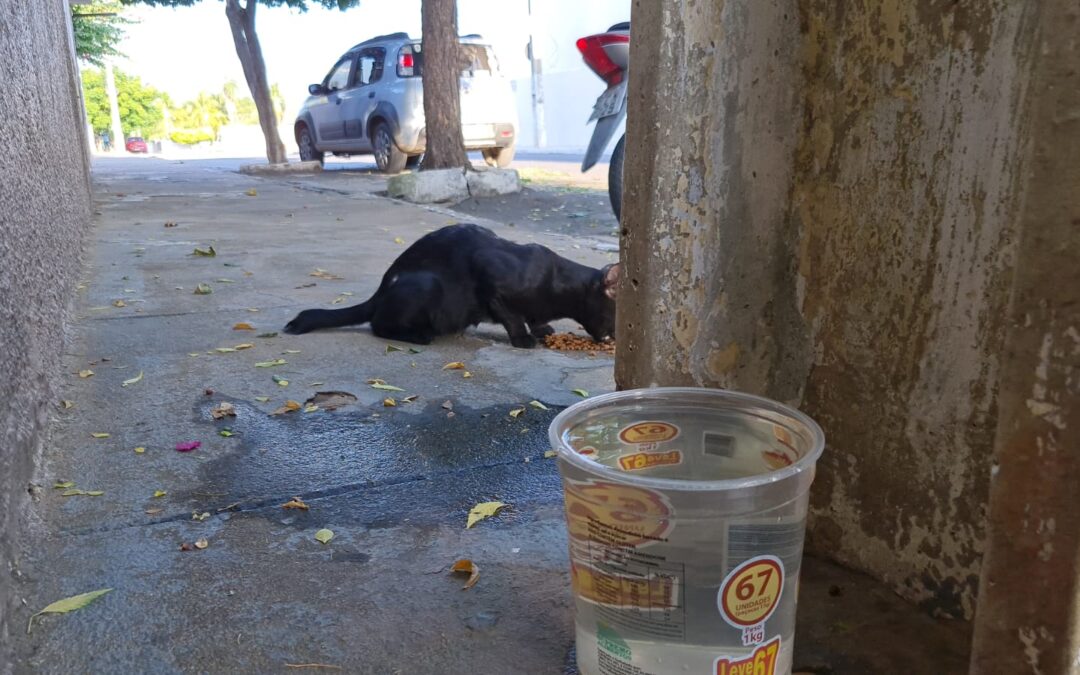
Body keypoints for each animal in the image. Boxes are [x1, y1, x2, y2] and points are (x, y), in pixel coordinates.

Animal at [282, 223, 622, 347]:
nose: (617, 337)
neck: (558, 284)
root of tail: (380, 290)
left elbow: (532, 318)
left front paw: (541, 329)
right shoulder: (488, 272)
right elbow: (512, 317)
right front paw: (524, 339)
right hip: (427, 284)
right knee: (378, 325)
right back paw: (420, 335)